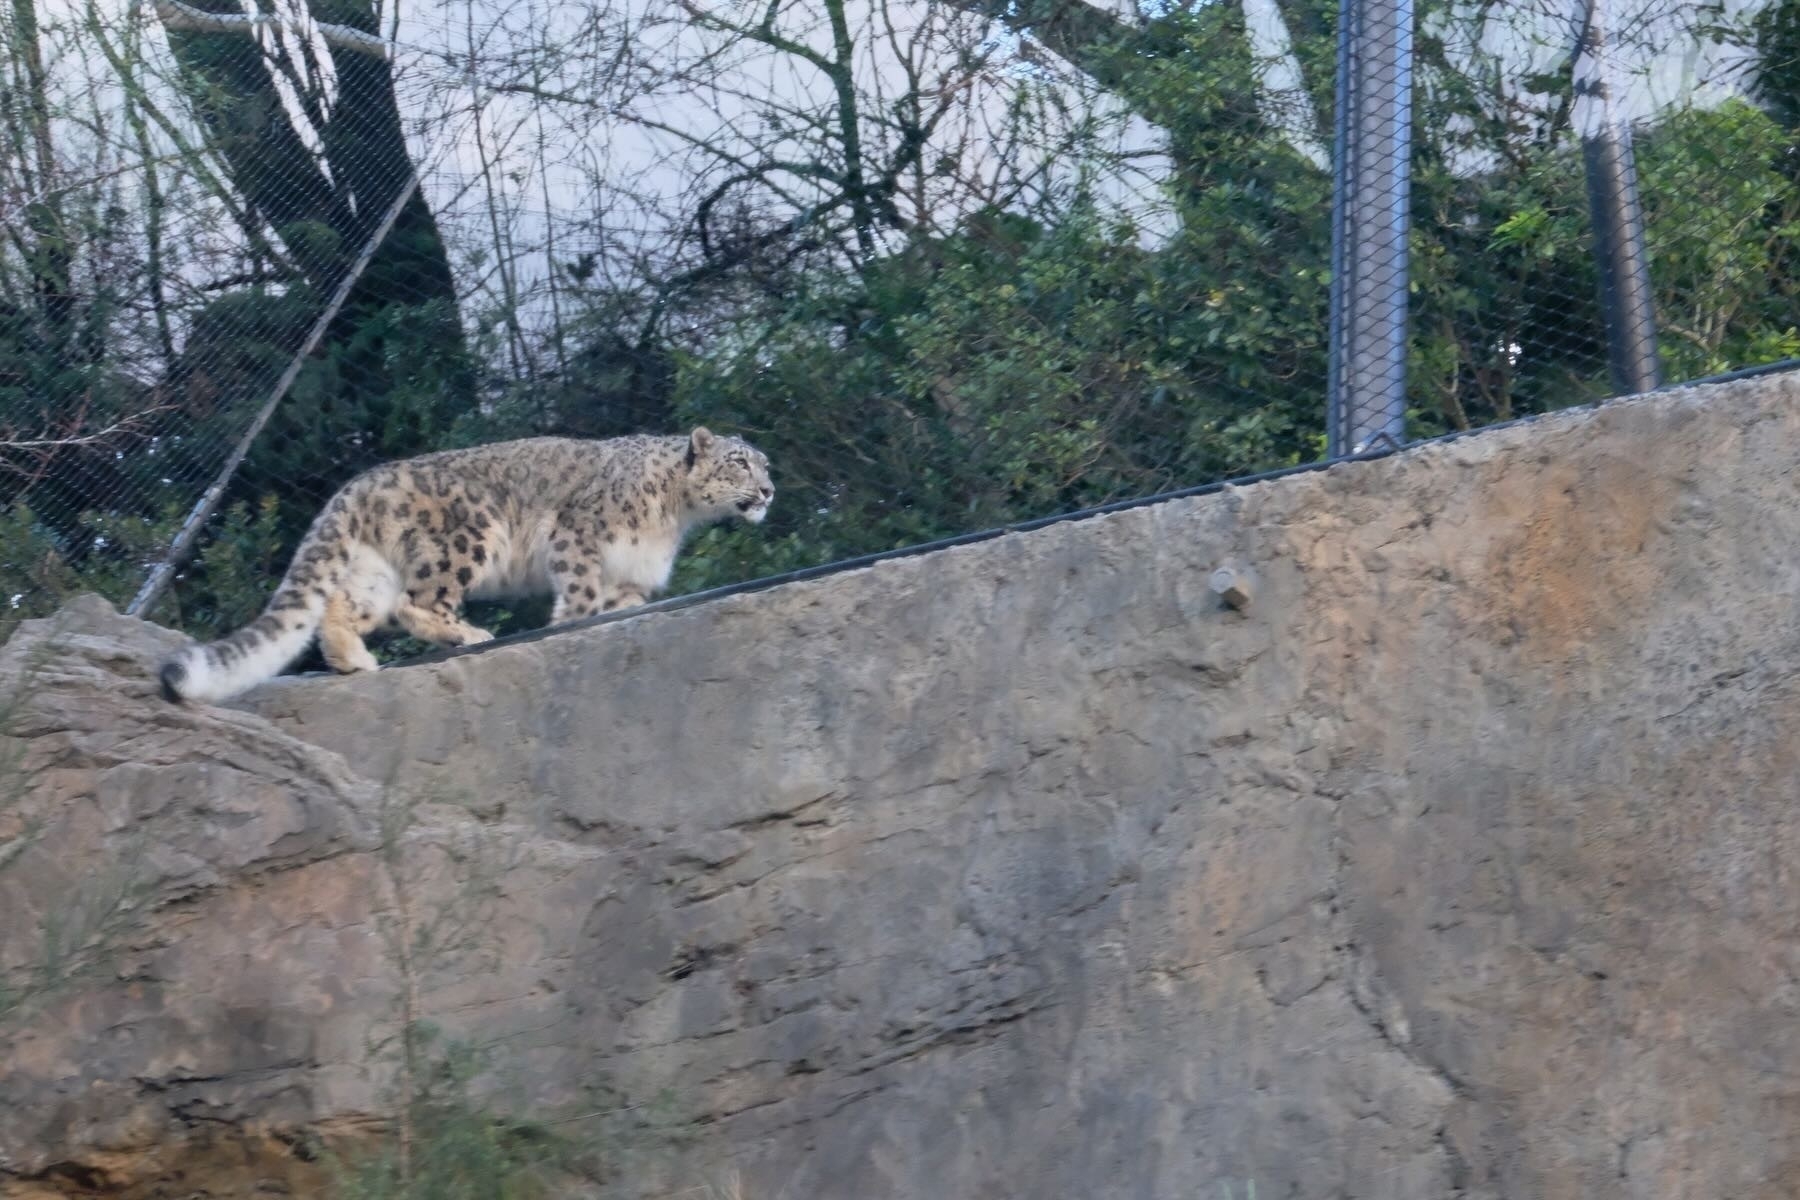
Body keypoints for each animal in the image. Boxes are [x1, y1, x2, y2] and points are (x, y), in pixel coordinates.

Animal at [158, 429, 770, 705]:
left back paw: (354, 660)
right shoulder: (579, 537)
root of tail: (354, 487)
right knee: (419, 602)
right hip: (469, 534)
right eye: (739, 462)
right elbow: (581, 593)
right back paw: (469, 632)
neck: (676, 516)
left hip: (372, 571)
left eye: (765, 464)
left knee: (341, 606)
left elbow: (614, 604)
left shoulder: (634, 577)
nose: (768, 490)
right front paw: (564, 625)